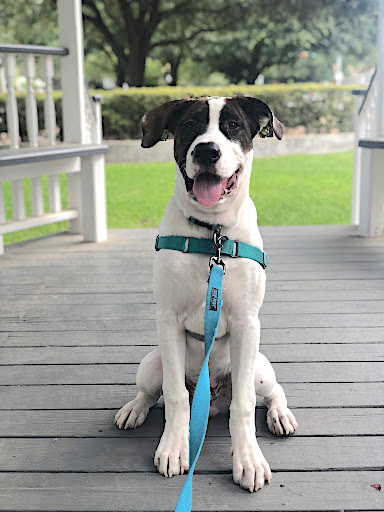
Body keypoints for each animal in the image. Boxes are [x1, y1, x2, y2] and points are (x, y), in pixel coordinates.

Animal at [115, 95, 298, 492]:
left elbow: (243, 405)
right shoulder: (167, 319)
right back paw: (134, 408)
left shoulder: (247, 323)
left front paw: (248, 459)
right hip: (150, 363)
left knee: (270, 392)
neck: (211, 232)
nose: (207, 151)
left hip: (259, 368)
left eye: (233, 126)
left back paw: (280, 414)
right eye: (188, 126)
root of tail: (212, 400)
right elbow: (176, 396)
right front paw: (174, 447)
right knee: (153, 392)